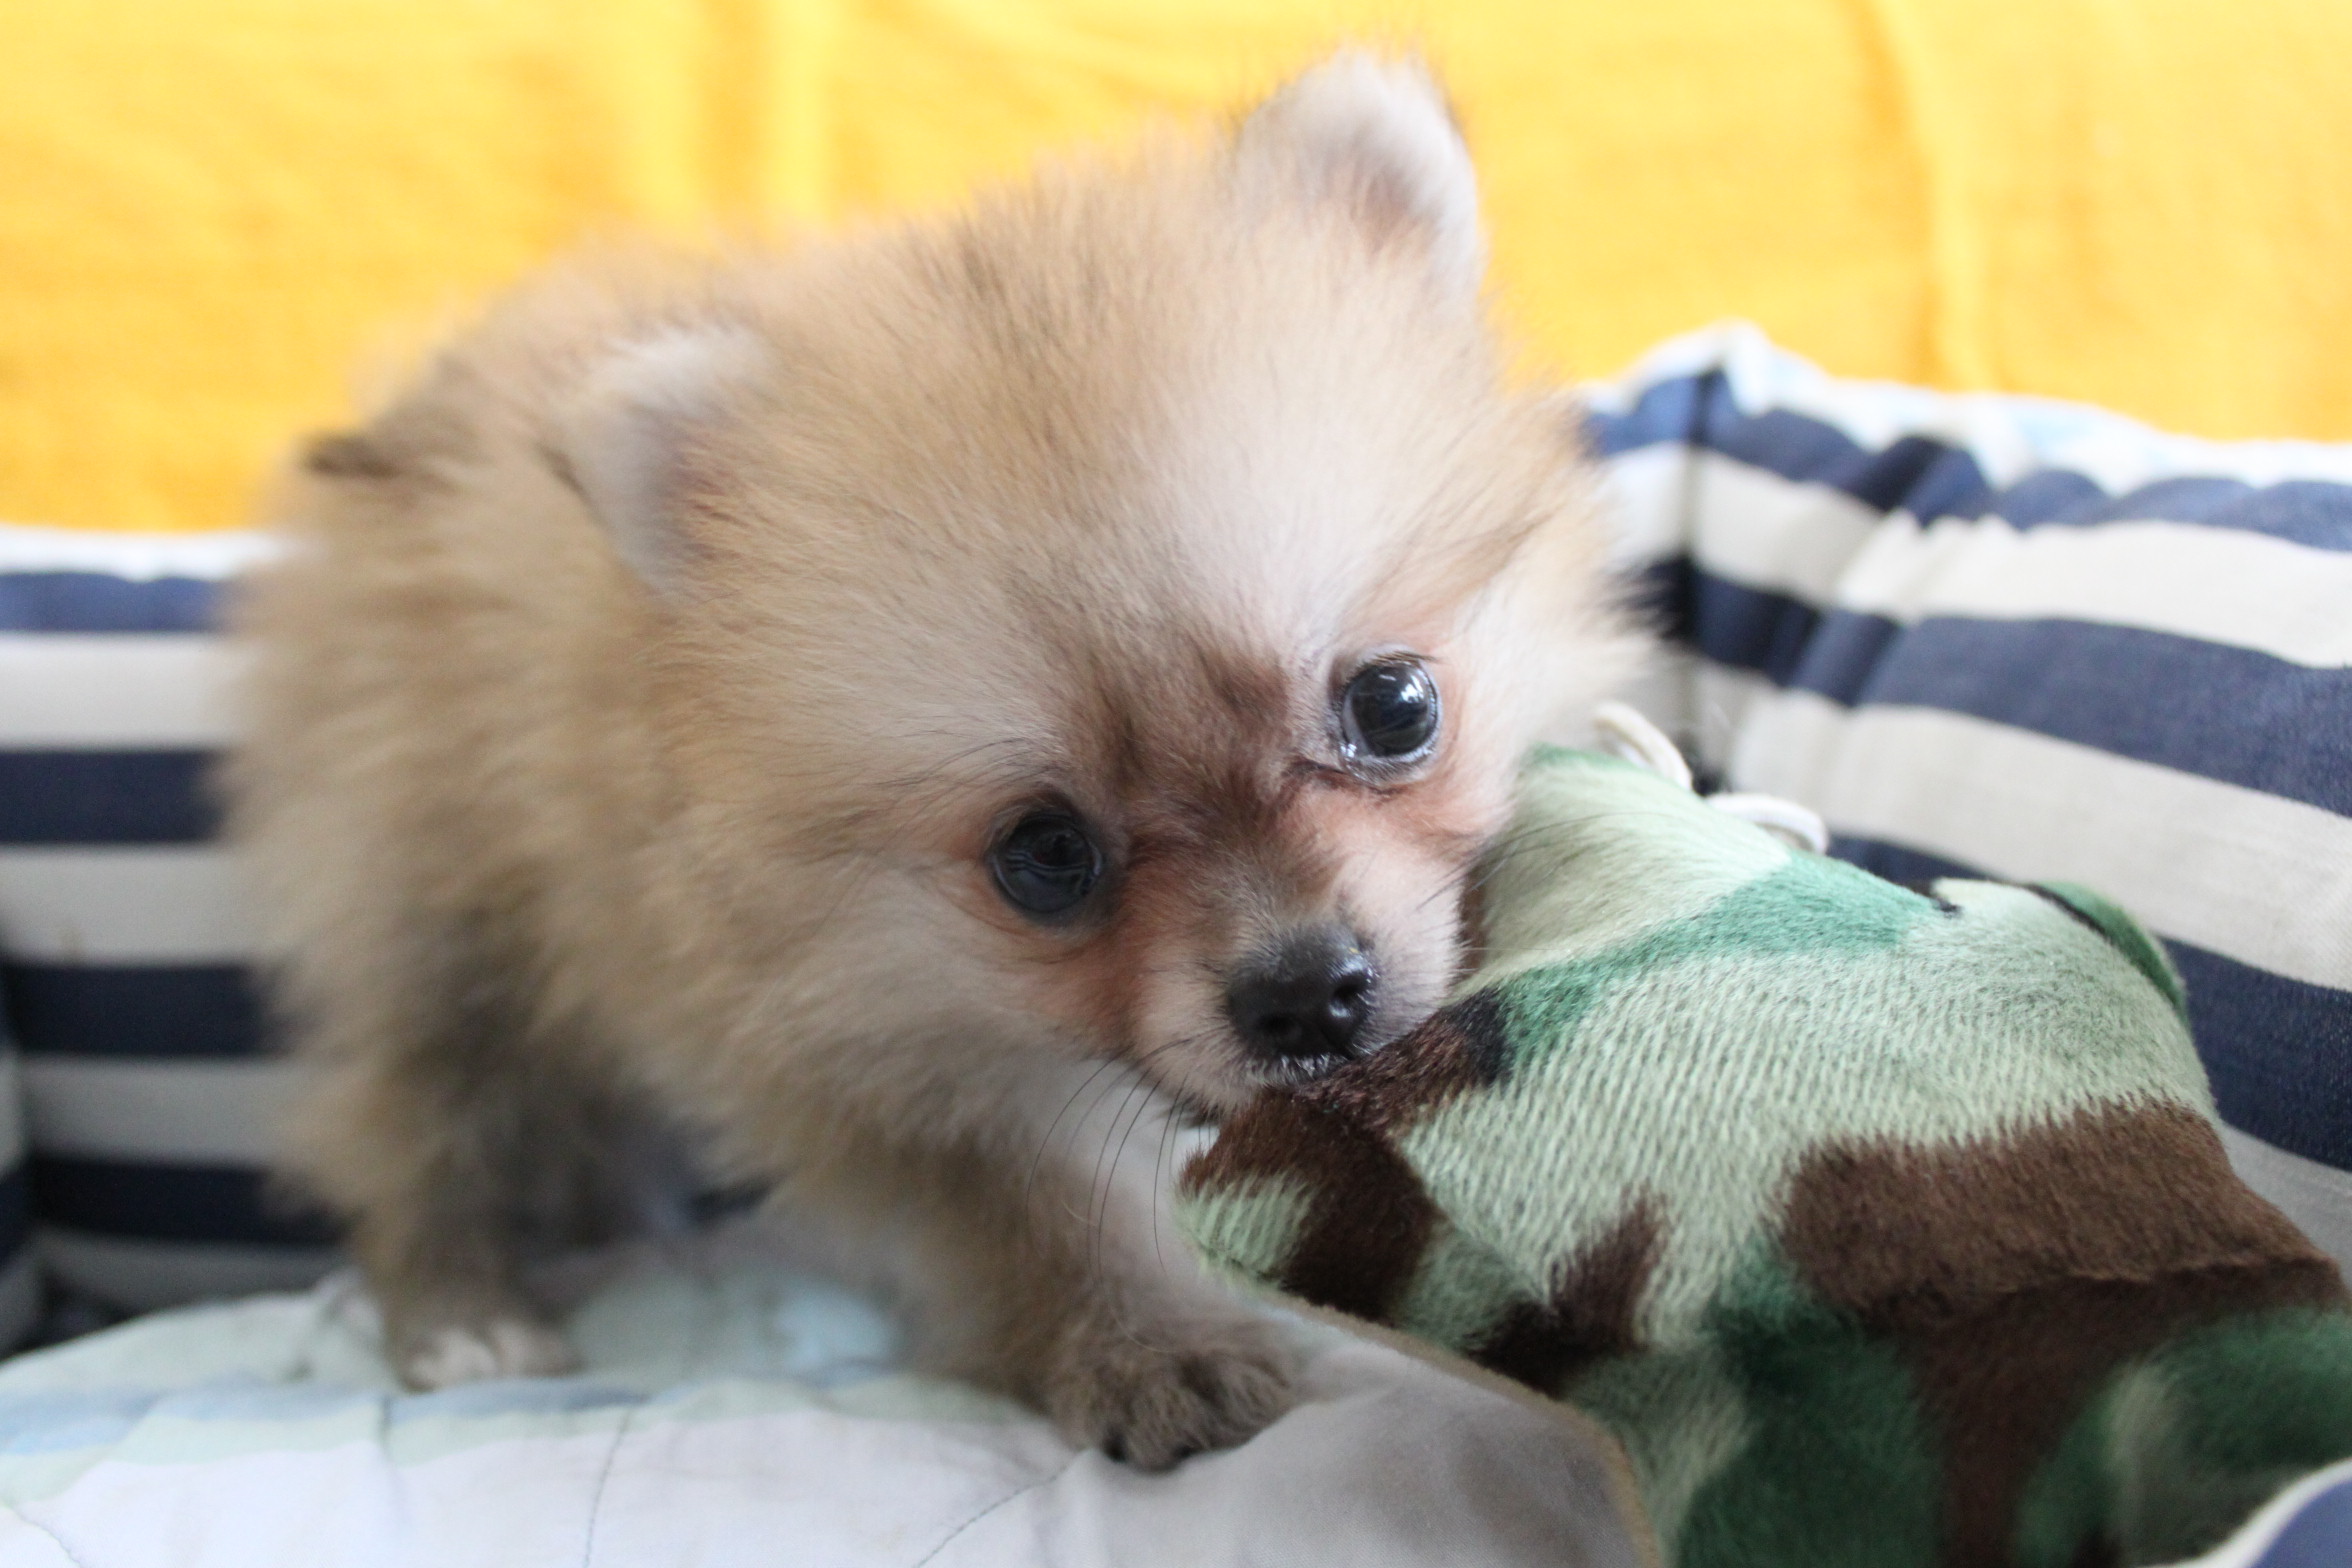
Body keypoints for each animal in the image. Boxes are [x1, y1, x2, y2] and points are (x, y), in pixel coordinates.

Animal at [228, 52, 1639, 1468]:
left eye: (1392, 704)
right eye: (1045, 855)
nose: (1304, 996)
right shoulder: (870, 1058)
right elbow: (1038, 1208)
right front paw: (1146, 1345)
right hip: (436, 915)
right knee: (415, 1118)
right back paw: (462, 1314)